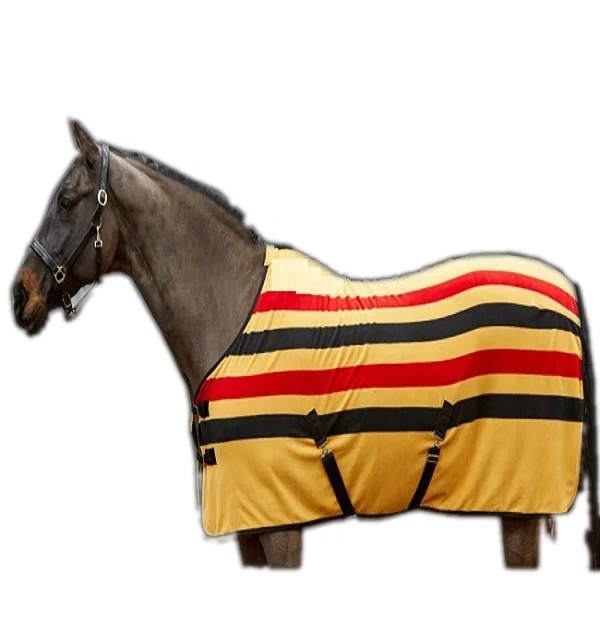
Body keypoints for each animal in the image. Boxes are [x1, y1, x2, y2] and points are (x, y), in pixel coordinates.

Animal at [11, 121, 600, 569]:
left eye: (66, 200)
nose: (21, 295)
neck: (233, 312)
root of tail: (565, 292)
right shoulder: (250, 526)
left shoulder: (281, 524)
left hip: (520, 509)